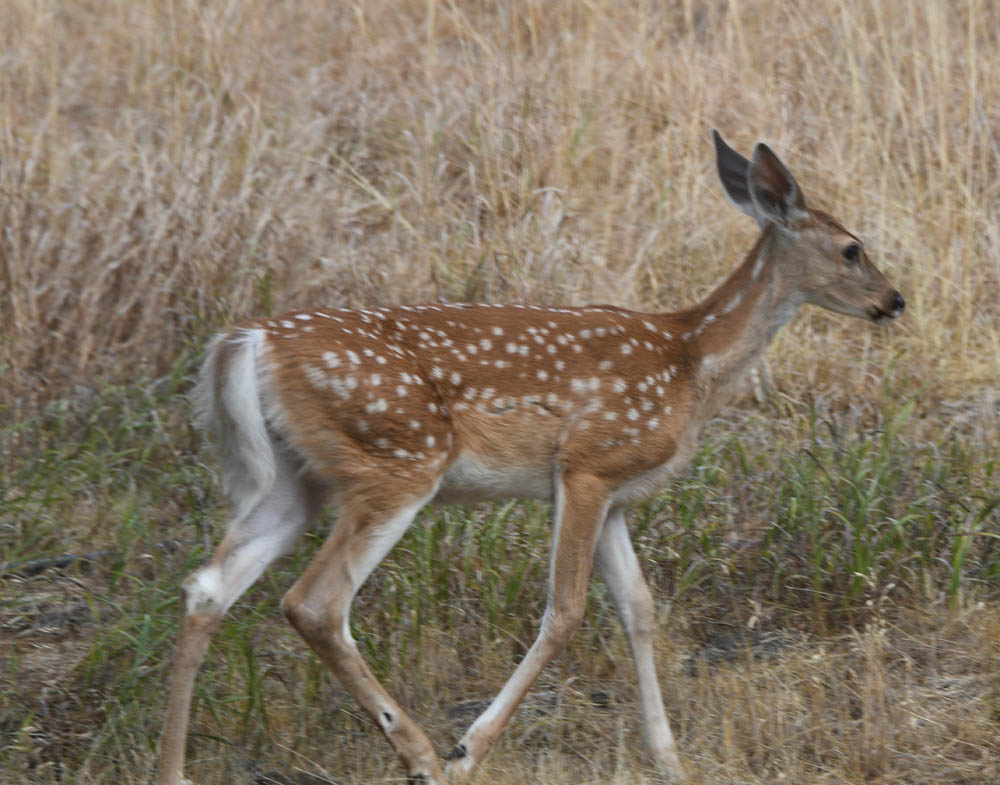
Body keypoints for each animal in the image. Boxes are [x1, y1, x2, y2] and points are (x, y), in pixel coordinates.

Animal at [157, 131, 904, 785]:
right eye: (851, 249)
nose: (894, 300)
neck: (692, 359)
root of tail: (246, 341)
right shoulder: (587, 462)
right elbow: (566, 609)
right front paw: (469, 750)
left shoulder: (616, 494)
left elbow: (638, 607)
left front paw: (668, 759)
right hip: (397, 458)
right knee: (316, 601)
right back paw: (422, 756)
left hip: (300, 478)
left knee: (208, 586)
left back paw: (175, 770)